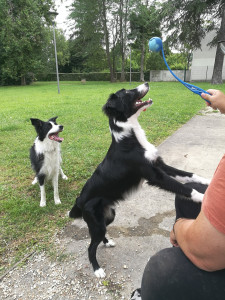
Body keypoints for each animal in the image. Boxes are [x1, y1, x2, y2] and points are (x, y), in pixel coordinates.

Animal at [69, 82, 211, 278]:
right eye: (127, 92)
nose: (147, 83)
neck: (131, 137)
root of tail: (79, 200)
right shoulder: (154, 175)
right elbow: (185, 188)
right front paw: (204, 198)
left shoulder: (160, 165)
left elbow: (188, 174)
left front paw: (207, 181)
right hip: (96, 222)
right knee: (90, 247)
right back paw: (97, 270)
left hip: (109, 216)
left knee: (99, 238)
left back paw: (108, 242)